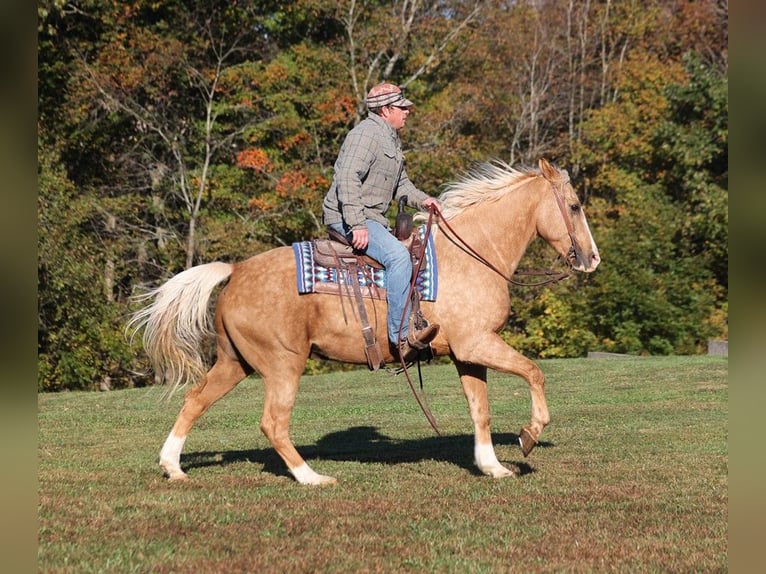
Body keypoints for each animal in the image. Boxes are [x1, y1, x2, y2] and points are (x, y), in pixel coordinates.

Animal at [130, 158, 600, 485]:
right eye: (574, 205)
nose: (592, 258)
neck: (472, 255)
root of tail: (237, 269)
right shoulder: (477, 344)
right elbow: (534, 372)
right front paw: (530, 434)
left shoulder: (467, 353)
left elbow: (479, 410)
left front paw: (492, 466)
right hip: (283, 364)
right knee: (273, 422)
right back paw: (312, 477)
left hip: (235, 362)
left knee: (195, 400)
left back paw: (173, 467)